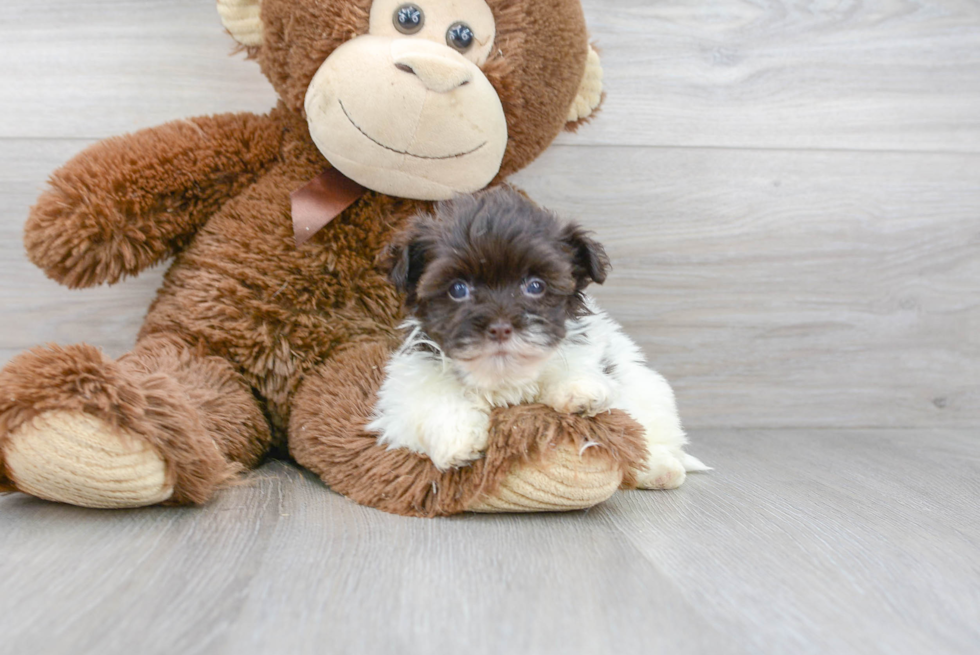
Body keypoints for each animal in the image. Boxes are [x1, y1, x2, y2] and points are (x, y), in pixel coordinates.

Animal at [368, 187, 704, 490]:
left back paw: (660, 468)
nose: (500, 327)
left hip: (647, 390)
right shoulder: (407, 386)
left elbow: (576, 367)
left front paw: (579, 391)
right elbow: (430, 400)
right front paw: (457, 439)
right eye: (458, 289)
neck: (502, 376)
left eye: (535, 286)